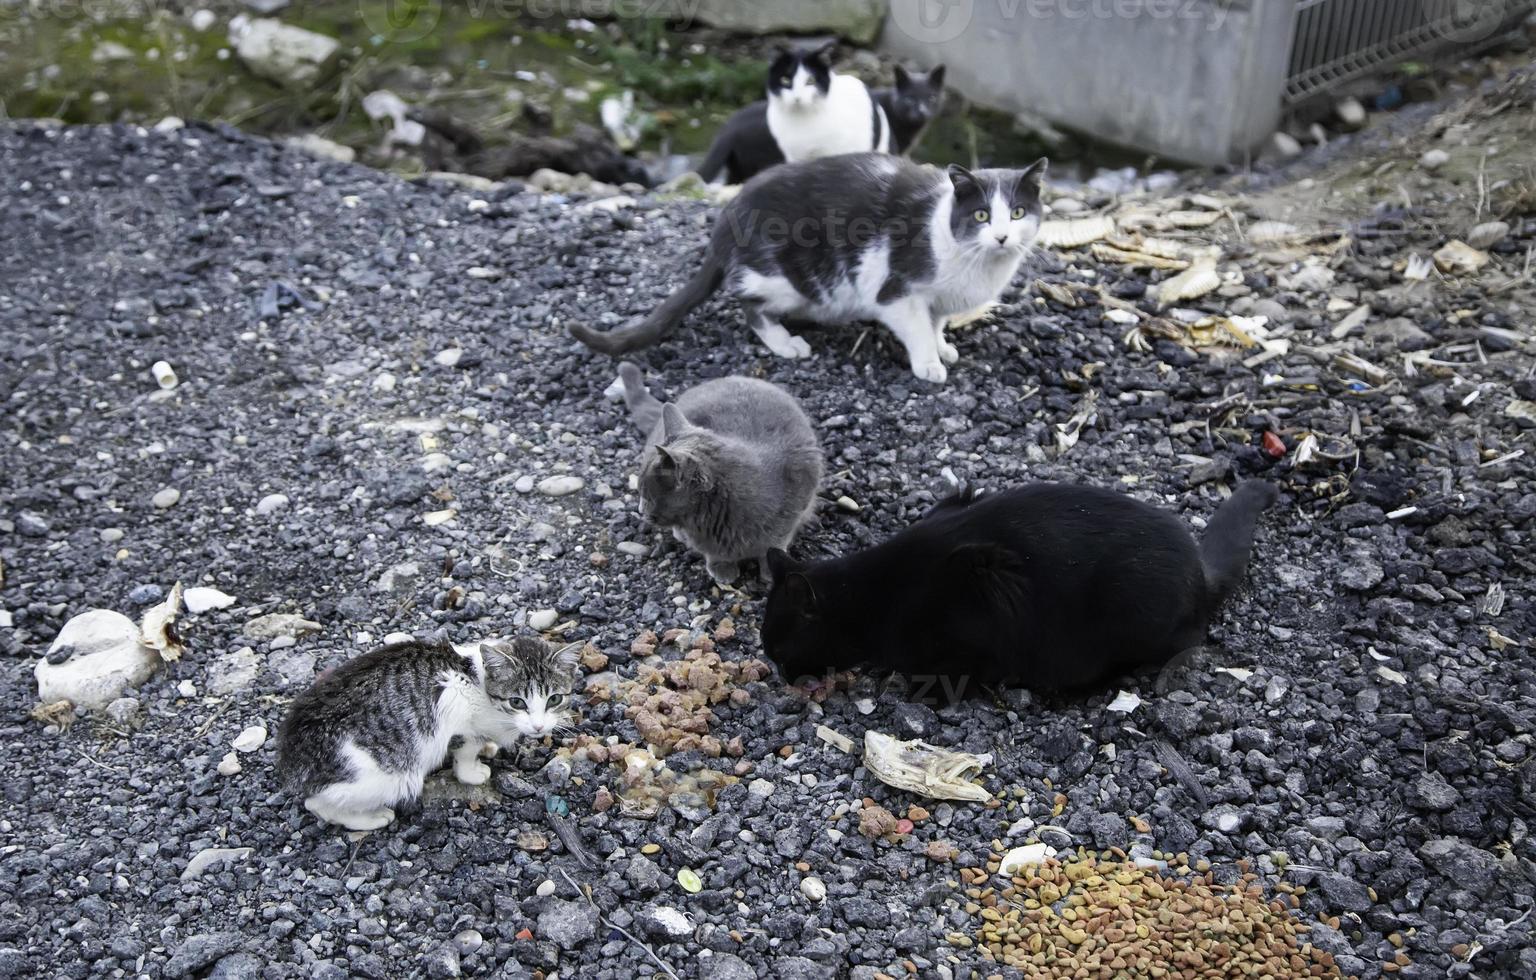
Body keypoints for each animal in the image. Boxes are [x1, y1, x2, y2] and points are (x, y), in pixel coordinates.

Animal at [571, 152, 1050, 384]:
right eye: (982, 215)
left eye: (1018, 213)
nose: (1002, 237)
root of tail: (727, 217)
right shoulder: (895, 292)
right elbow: (915, 328)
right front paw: (929, 364)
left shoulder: (937, 301)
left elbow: (935, 324)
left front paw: (943, 347)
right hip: (788, 279)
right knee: (748, 304)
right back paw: (786, 343)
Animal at [614, 362, 829, 586]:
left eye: (647, 496)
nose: (640, 510)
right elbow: (714, 552)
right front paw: (722, 568)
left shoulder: (793, 511)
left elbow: (774, 545)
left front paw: (772, 571)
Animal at [697, 42, 890, 188]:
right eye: (785, 80)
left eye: (811, 81)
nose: (797, 97)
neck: (803, 124)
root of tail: (726, 129)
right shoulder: (794, 158)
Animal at [761, 482, 1277, 700]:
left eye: (780, 648)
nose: (779, 673)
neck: (874, 596)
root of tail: (1199, 570)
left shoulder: (968, 609)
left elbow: (950, 673)